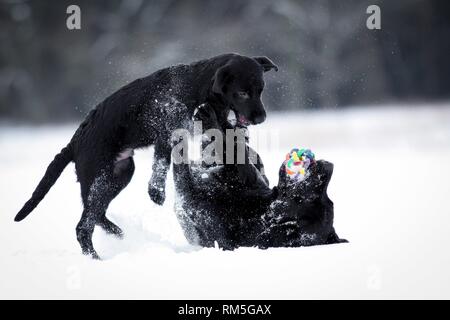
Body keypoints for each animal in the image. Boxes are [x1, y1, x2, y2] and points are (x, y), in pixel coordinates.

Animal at [13, 52, 278, 258]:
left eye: (261, 90)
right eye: (242, 93)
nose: (261, 118)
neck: (198, 87)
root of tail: (75, 141)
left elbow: (228, 139)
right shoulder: (167, 130)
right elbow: (161, 163)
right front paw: (156, 192)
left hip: (119, 174)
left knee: (96, 216)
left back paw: (119, 234)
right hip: (101, 179)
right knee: (83, 226)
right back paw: (96, 259)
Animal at [173, 104, 348, 249]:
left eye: (303, 198)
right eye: (326, 196)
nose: (327, 167)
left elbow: (229, 149)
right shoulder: (251, 179)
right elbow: (234, 147)